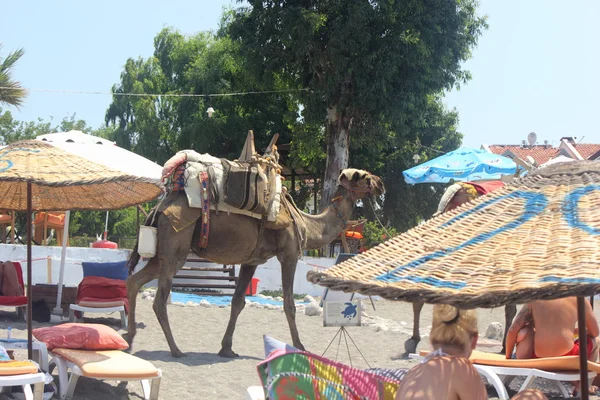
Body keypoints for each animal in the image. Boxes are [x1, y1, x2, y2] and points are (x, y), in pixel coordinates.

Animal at [124, 167, 384, 358]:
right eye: (363, 175)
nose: (381, 182)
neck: (307, 224)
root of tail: (159, 208)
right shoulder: (289, 254)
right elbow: (289, 304)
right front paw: (300, 346)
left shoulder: (253, 260)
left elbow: (238, 302)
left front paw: (227, 349)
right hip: (175, 249)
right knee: (159, 300)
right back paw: (176, 350)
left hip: (162, 253)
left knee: (133, 281)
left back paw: (130, 337)